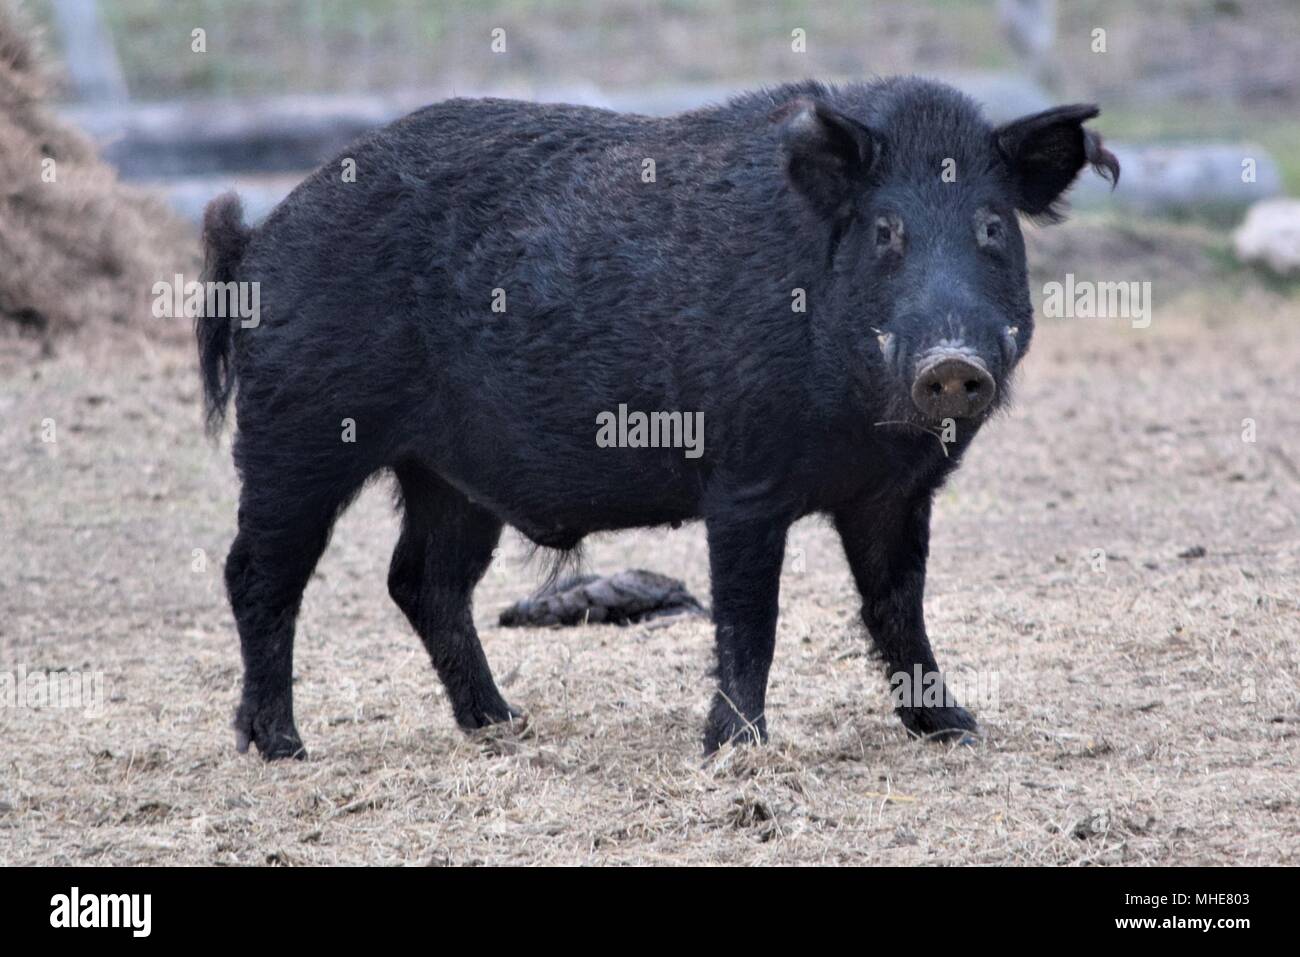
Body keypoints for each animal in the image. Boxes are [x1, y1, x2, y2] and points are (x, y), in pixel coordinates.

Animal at [196, 77, 1118, 760]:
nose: (951, 362)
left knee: (421, 580)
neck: (865, 429)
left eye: (992, 227)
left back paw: (504, 724)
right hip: (297, 434)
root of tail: (259, 239)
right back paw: (281, 747)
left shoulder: (896, 494)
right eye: (886, 230)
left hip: (446, 475)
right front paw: (735, 748)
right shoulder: (742, 481)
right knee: (257, 574)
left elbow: (899, 605)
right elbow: (751, 615)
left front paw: (957, 729)